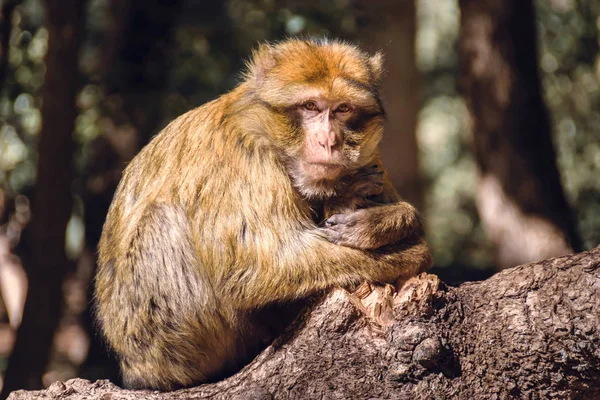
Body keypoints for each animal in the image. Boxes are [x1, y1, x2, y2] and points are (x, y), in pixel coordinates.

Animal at [95, 38, 432, 390]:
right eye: (310, 106)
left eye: (342, 109)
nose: (329, 141)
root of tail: (134, 370)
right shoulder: (243, 160)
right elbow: (259, 264)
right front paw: (406, 252)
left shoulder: (372, 156)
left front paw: (387, 221)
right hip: (162, 340)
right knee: (161, 220)